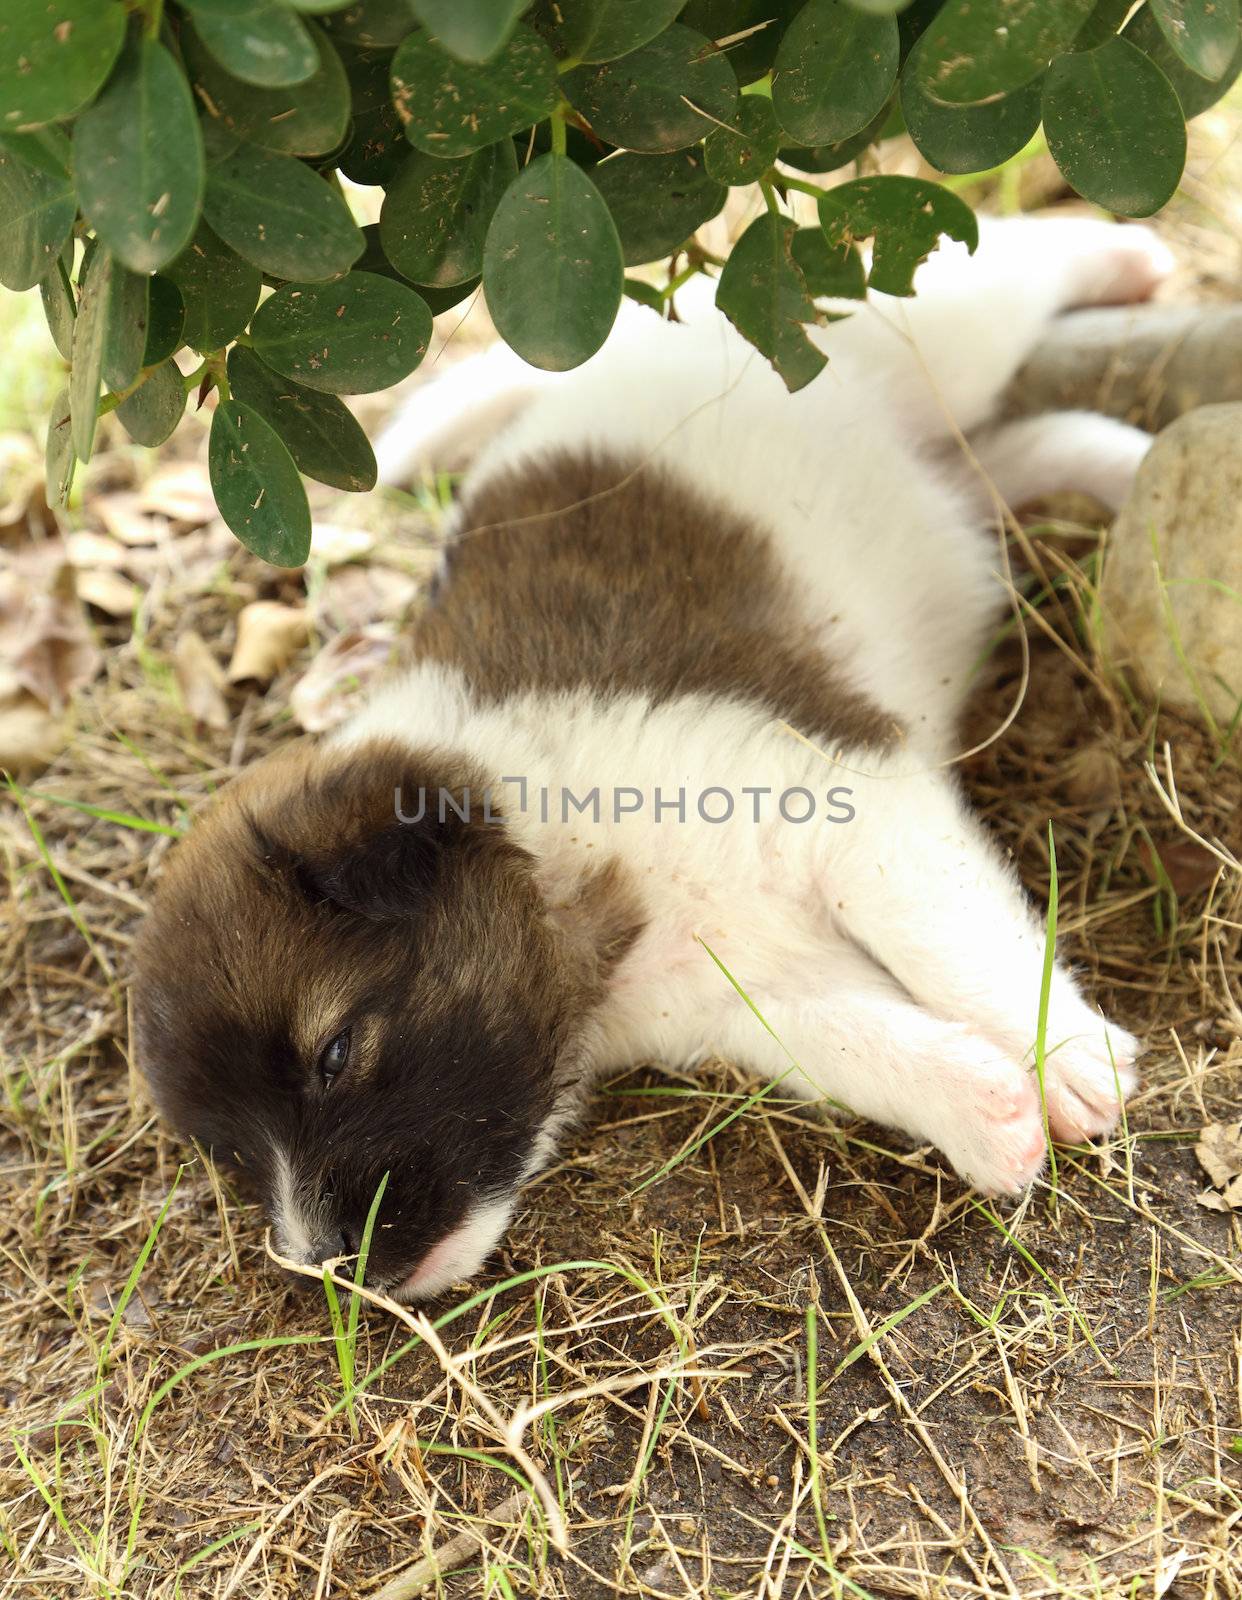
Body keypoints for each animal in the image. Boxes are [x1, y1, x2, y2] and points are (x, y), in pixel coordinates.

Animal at [136, 219, 1165, 1305]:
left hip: (938, 333)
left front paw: (1070, 1055)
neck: (559, 842)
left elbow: (954, 945)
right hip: (942, 481)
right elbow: (859, 1039)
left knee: (1012, 264)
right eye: (235, 1153)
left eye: (335, 1053)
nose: (336, 1273)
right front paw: (988, 1111)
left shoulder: (848, 810)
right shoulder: (753, 990)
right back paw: (1129, 467)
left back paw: (1123, 258)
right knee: (1024, 451)